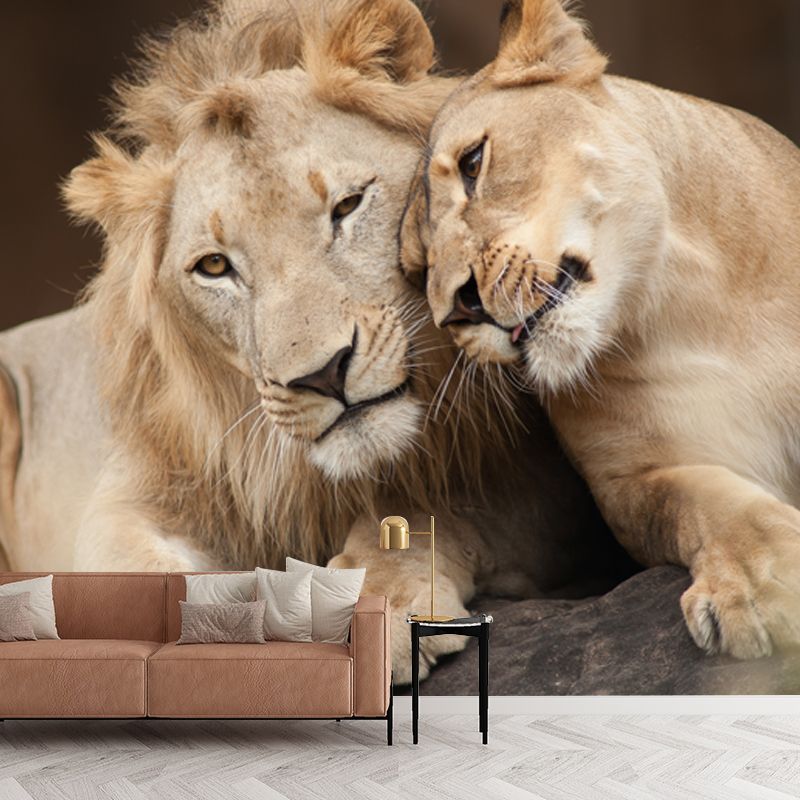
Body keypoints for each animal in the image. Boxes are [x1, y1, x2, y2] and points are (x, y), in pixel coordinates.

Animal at [0, 0, 616, 682]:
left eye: (347, 205)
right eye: (214, 266)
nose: (322, 375)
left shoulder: (543, 483)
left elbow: (436, 511)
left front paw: (377, 602)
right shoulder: (132, 498)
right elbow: (131, 573)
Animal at [401, 0, 800, 661]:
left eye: (473, 164)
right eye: (415, 271)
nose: (457, 310)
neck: (689, 306)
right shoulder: (631, 480)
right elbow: (704, 502)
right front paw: (764, 582)